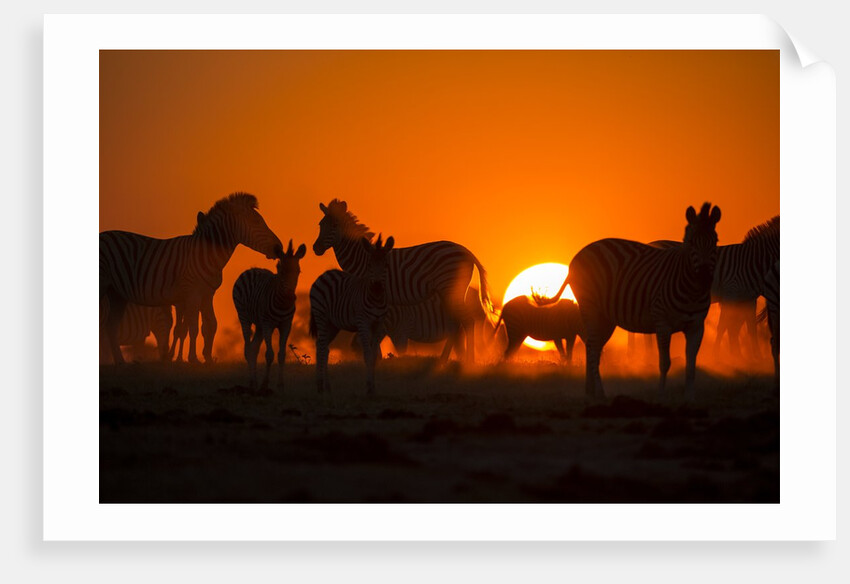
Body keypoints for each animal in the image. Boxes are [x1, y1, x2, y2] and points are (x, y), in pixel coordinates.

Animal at [99, 192, 282, 365]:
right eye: (257, 222)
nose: (279, 248)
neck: (206, 253)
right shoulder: (193, 293)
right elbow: (193, 327)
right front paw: (193, 358)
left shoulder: (207, 294)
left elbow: (211, 325)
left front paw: (208, 358)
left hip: (117, 293)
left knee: (111, 326)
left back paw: (120, 362)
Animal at [232, 240, 307, 391]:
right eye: (281, 271)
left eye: (298, 271)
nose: (290, 297)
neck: (282, 303)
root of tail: (252, 269)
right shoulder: (268, 324)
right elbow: (269, 355)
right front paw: (265, 384)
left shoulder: (286, 324)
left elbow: (282, 355)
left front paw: (280, 384)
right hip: (244, 317)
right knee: (248, 349)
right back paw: (252, 382)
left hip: (259, 325)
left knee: (254, 348)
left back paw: (254, 381)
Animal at [309, 235, 394, 394]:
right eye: (369, 265)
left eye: (386, 265)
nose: (377, 287)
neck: (376, 298)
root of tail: (325, 274)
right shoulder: (363, 323)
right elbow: (367, 355)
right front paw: (368, 387)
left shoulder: (378, 324)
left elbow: (374, 356)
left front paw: (373, 387)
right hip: (321, 316)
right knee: (321, 347)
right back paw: (319, 385)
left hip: (333, 324)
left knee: (323, 347)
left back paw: (326, 386)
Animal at [312, 199, 492, 363]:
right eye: (321, 224)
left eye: (335, 225)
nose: (316, 248)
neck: (362, 259)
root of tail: (467, 251)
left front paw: (374, 358)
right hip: (450, 291)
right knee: (455, 324)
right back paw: (444, 360)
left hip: (450, 287)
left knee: (467, 321)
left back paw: (469, 362)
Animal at [536, 203, 722, 400]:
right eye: (691, 242)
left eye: (715, 242)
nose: (704, 278)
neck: (691, 290)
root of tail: (579, 254)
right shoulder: (662, 323)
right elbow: (665, 363)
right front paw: (661, 395)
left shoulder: (697, 326)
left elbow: (691, 365)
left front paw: (689, 398)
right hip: (590, 307)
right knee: (593, 348)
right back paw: (600, 393)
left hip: (605, 318)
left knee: (592, 346)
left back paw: (590, 391)